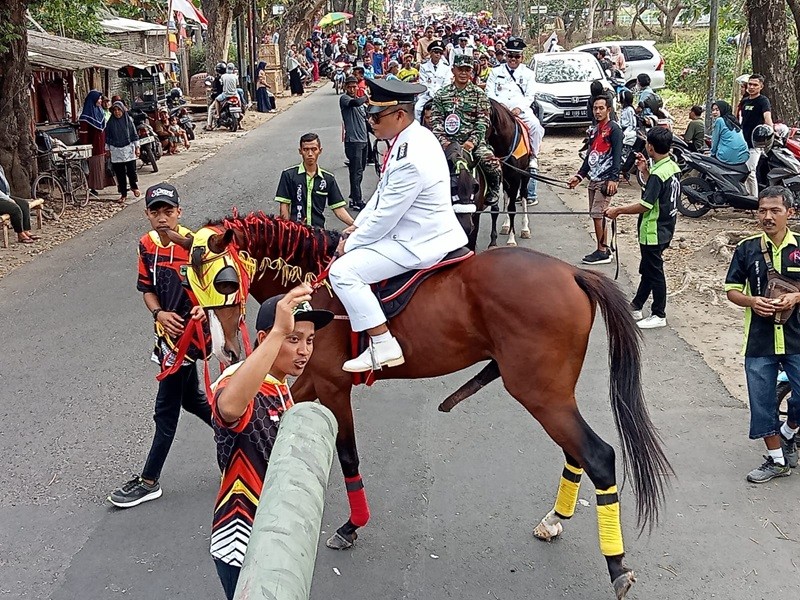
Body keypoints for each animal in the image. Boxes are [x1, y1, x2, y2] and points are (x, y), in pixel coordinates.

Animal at [172, 216, 672, 600]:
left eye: (224, 282)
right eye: (187, 285)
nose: (226, 351)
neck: (316, 294)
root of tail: (570, 273)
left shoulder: (333, 385)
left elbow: (348, 455)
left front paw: (352, 526)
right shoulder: (312, 379)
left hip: (541, 394)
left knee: (599, 455)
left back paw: (616, 566)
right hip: (552, 395)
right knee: (576, 451)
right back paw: (555, 520)